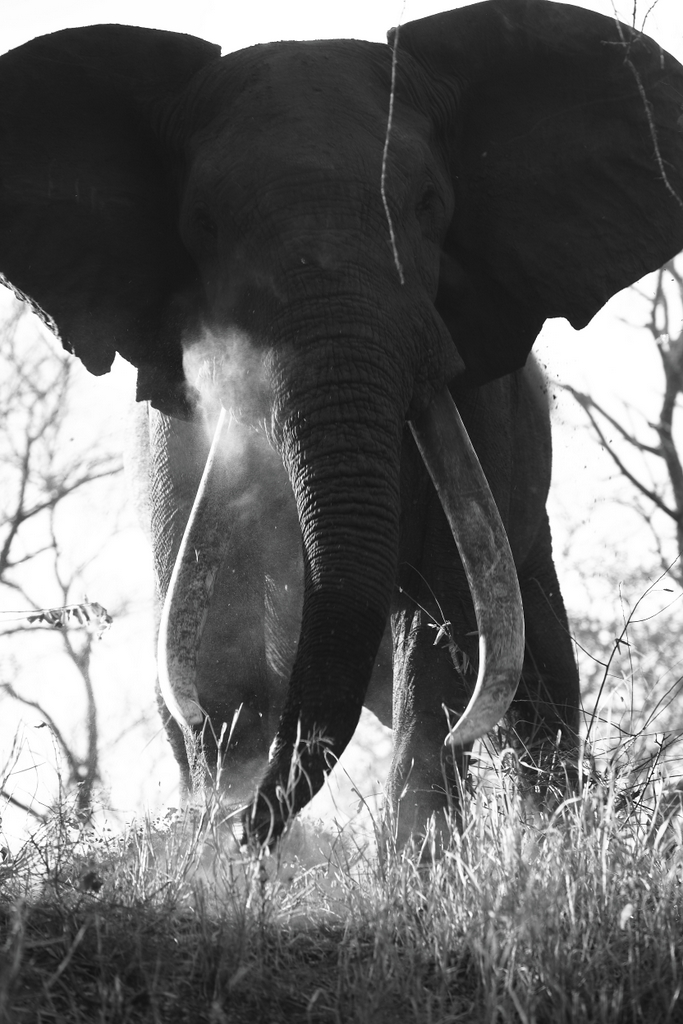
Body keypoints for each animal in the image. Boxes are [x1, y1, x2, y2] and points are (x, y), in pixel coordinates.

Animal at [1, 0, 683, 843]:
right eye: (203, 224)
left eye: (428, 206)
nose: (242, 829)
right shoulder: (176, 433)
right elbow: (212, 658)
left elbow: (441, 639)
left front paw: (411, 859)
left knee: (536, 692)